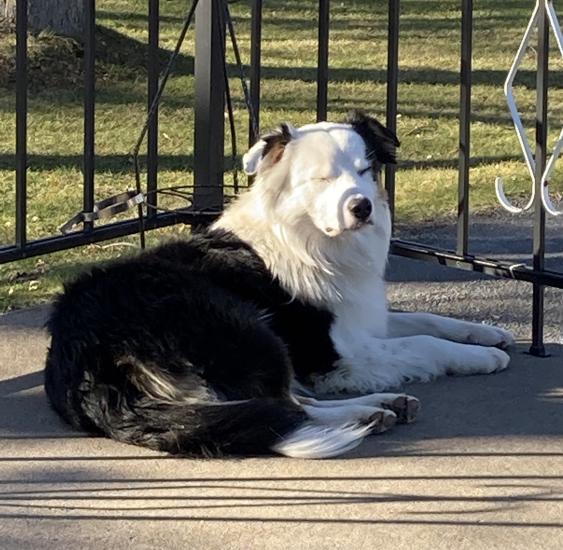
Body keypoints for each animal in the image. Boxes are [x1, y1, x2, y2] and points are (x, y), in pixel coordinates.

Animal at [45, 111, 514, 458]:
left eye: (366, 170)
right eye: (323, 179)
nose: (362, 208)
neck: (311, 239)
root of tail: (84, 353)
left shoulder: (358, 318)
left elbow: (424, 319)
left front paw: (485, 332)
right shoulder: (331, 354)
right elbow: (421, 342)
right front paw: (481, 356)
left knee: (282, 405)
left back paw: (379, 408)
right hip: (248, 329)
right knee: (282, 408)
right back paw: (369, 411)